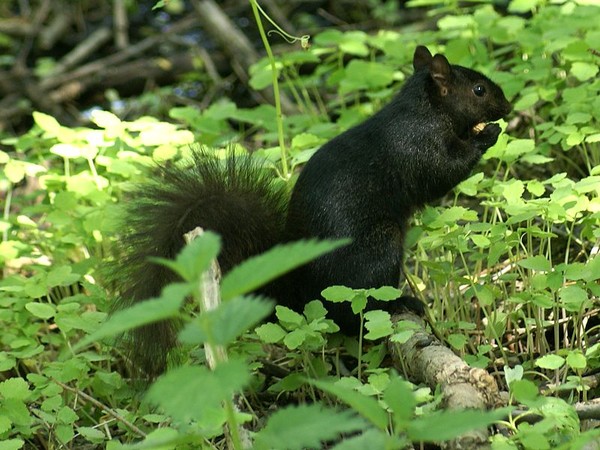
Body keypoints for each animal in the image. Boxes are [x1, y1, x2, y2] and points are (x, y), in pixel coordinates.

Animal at [111, 46, 510, 376]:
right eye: (479, 90)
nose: (507, 108)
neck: (423, 110)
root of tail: (299, 294)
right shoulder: (420, 148)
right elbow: (446, 171)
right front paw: (486, 133)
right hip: (379, 247)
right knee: (354, 313)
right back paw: (402, 302)